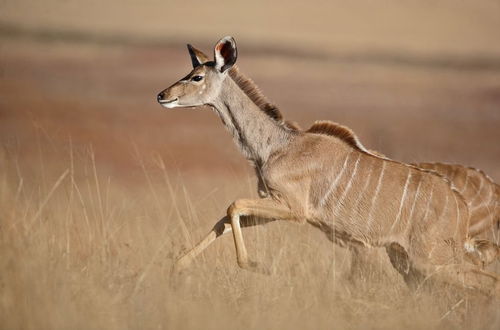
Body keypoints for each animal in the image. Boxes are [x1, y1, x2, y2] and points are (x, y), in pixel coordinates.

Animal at [157, 37, 500, 296]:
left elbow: (233, 206)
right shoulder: (274, 207)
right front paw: (177, 266)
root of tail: (460, 206)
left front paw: (255, 265)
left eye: (197, 77)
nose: (162, 95)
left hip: (430, 259)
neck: (278, 145)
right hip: (407, 260)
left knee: (487, 283)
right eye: (190, 71)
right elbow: (225, 220)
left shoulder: (294, 209)